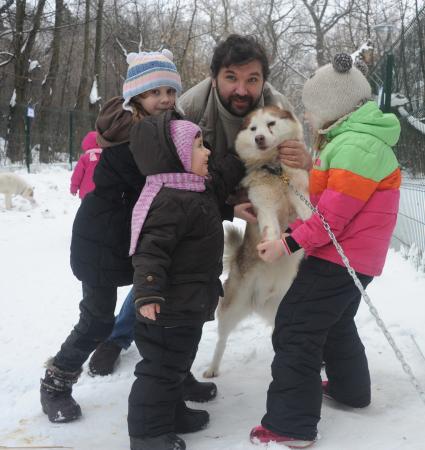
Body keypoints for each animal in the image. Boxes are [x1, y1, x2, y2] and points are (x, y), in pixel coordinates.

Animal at [204, 106, 310, 380]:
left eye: (271, 123)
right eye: (253, 128)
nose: (259, 138)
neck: (274, 170)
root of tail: (259, 302)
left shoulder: (299, 192)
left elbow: (307, 211)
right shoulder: (263, 205)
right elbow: (270, 226)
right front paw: (271, 244)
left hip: (281, 310)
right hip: (230, 308)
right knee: (221, 340)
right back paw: (212, 368)